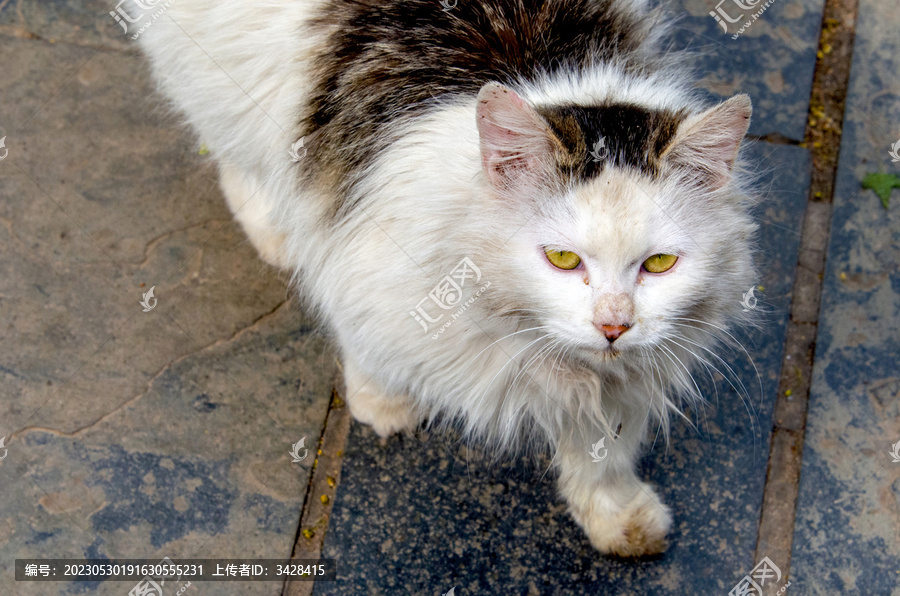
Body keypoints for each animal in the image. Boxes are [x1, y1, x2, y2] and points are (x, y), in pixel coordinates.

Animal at [134, 0, 760, 556]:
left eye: (658, 264)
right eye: (562, 259)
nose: (614, 326)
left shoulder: (620, 381)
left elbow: (604, 451)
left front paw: (618, 519)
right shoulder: (365, 255)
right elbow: (361, 332)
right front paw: (382, 402)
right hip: (218, 81)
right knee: (236, 162)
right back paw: (277, 234)